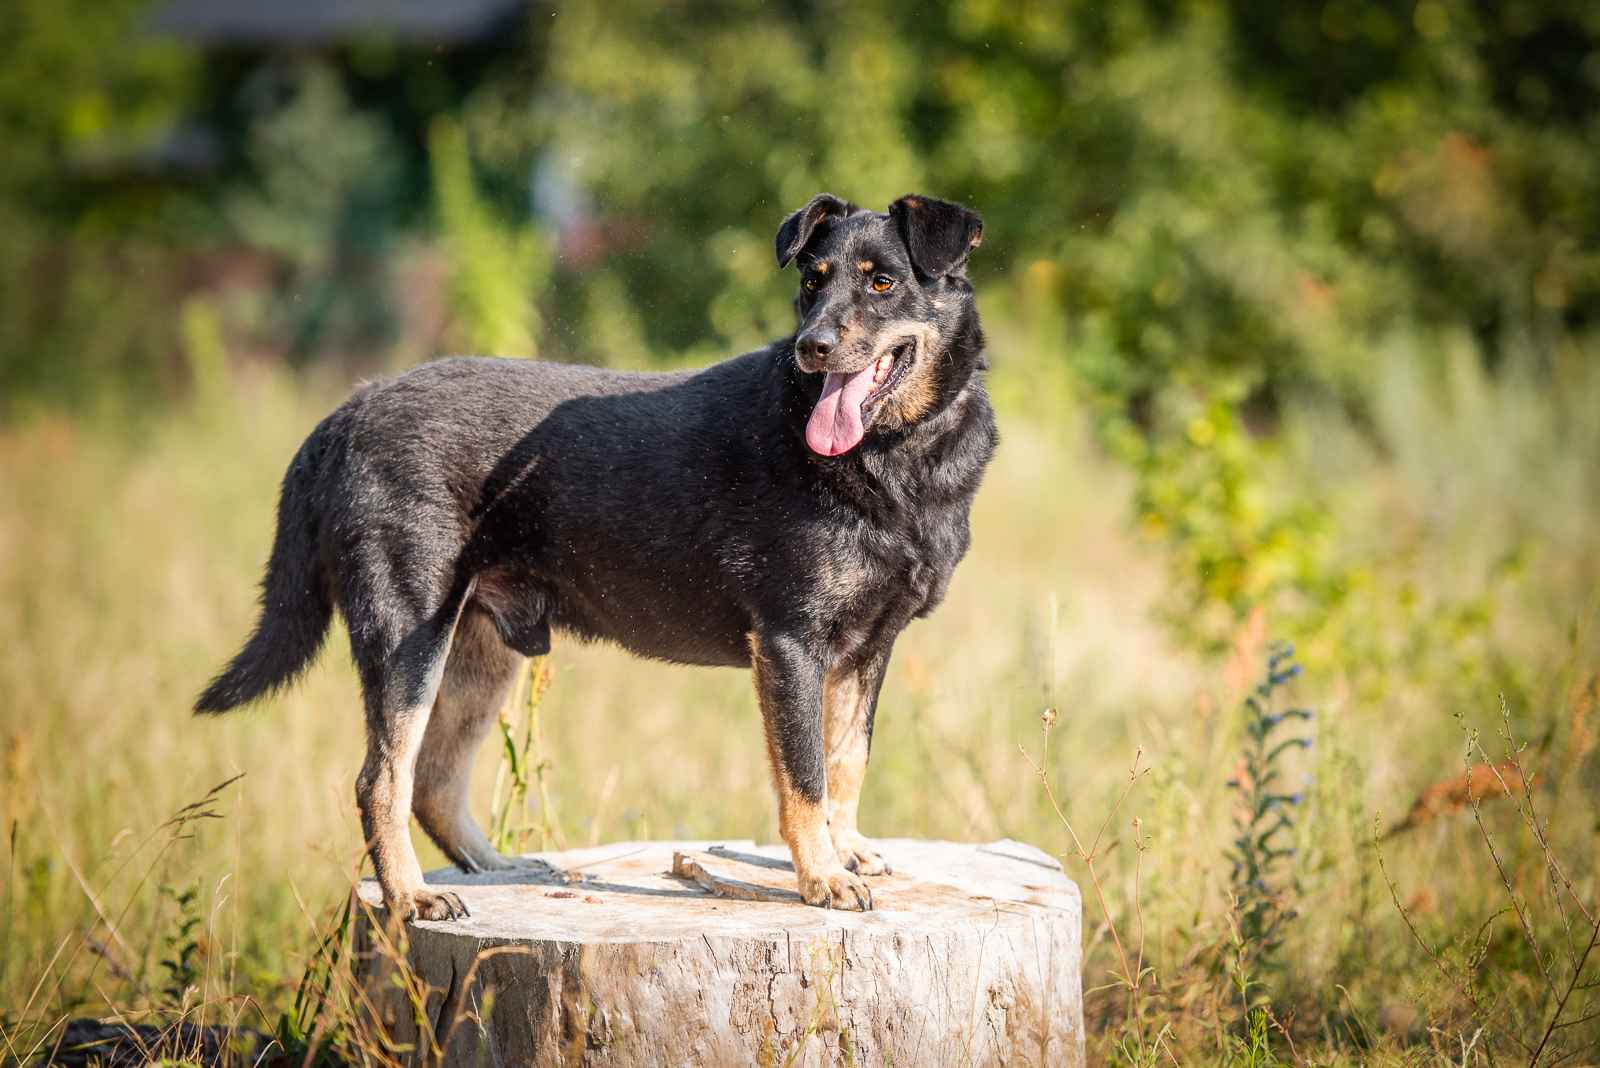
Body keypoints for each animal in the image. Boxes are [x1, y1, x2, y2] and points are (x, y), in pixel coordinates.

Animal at [196, 191, 998, 920]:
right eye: (811, 283)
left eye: (882, 282)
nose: (813, 346)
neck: (894, 456)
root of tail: (344, 413)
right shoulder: (789, 642)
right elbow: (804, 777)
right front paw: (823, 878)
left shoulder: (867, 648)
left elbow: (847, 759)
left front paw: (849, 850)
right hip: (407, 636)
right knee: (380, 780)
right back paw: (413, 896)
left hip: (478, 654)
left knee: (433, 780)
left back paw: (502, 869)